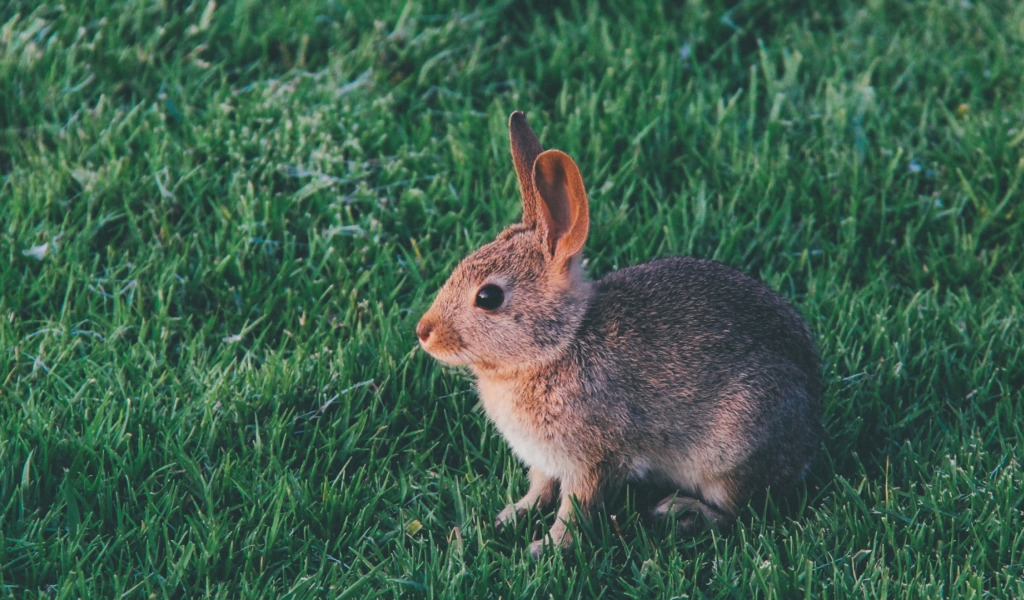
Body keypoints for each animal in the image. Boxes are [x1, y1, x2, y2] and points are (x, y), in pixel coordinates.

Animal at [411, 111, 819, 556]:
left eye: (488, 297)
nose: (423, 332)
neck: (559, 345)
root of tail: (811, 426)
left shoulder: (592, 460)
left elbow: (575, 509)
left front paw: (544, 549)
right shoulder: (544, 460)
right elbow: (539, 490)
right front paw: (509, 517)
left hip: (730, 454)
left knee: (736, 510)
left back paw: (679, 511)